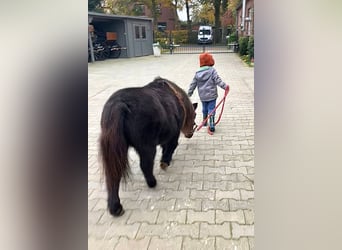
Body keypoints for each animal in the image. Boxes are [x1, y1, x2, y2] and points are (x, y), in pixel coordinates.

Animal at [99, 77, 196, 216]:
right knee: (145, 165)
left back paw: (115, 207)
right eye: (195, 116)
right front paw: (165, 162)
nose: (190, 134)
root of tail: (119, 103)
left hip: (116, 151)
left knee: (113, 174)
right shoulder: (173, 136)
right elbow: (169, 149)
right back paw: (152, 183)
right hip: (147, 147)